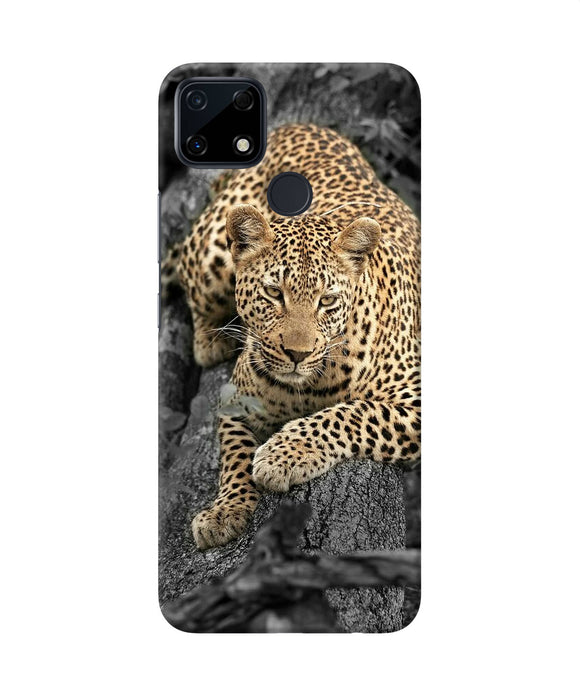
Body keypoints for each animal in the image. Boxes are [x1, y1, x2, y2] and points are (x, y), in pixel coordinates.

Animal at [162, 123, 420, 550]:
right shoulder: (235, 400)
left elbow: (352, 413)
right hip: (212, 253)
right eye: (273, 293)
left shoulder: (415, 399)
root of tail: (297, 125)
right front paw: (225, 511)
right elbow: (234, 455)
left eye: (327, 300)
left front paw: (282, 455)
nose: (297, 354)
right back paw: (211, 340)